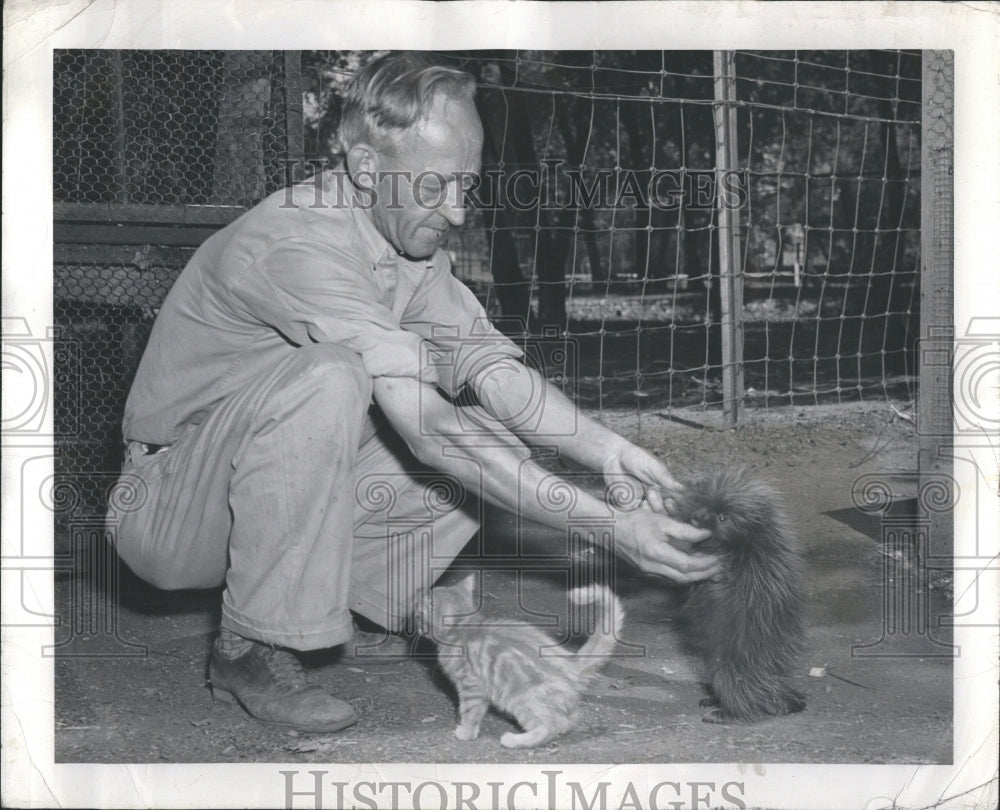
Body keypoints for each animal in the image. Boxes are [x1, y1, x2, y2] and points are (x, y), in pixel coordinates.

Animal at [416, 576, 620, 744]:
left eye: (418, 615)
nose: (414, 624)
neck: (462, 628)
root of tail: (572, 664)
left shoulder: (472, 685)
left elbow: (470, 711)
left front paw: (465, 732)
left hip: (520, 699)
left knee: (548, 727)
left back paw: (514, 740)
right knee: (568, 718)